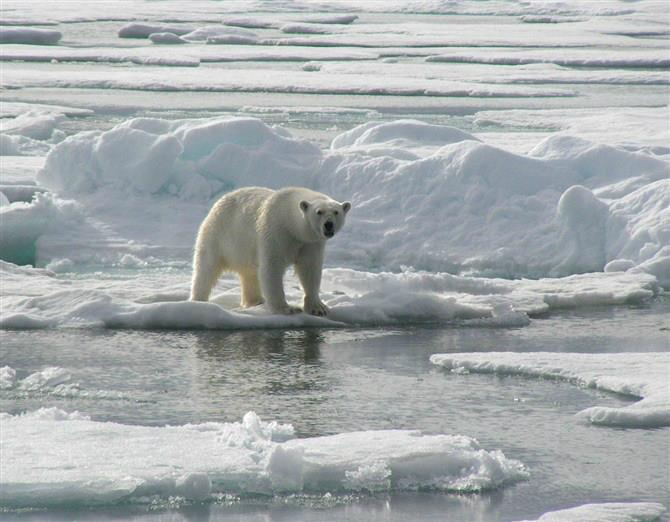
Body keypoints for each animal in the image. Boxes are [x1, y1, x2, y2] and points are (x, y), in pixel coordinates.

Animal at [189, 186, 351, 316]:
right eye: (319, 212)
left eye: (336, 212)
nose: (328, 224)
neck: (291, 222)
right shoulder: (275, 231)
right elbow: (271, 267)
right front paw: (287, 308)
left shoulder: (311, 243)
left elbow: (309, 269)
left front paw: (318, 308)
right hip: (218, 233)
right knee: (206, 268)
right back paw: (199, 300)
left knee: (249, 273)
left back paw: (255, 301)